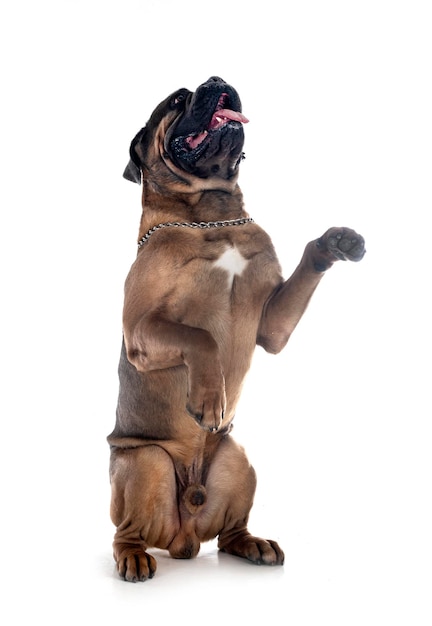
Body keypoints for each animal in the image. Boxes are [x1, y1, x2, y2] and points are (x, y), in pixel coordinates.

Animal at [107, 77, 364, 580]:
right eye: (177, 99)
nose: (215, 81)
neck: (211, 213)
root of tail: (183, 538)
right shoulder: (141, 330)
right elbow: (199, 336)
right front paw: (209, 399)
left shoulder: (273, 326)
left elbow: (310, 256)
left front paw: (337, 242)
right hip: (144, 462)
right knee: (126, 531)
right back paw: (133, 557)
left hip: (237, 458)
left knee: (229, 534)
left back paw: (254, 544)